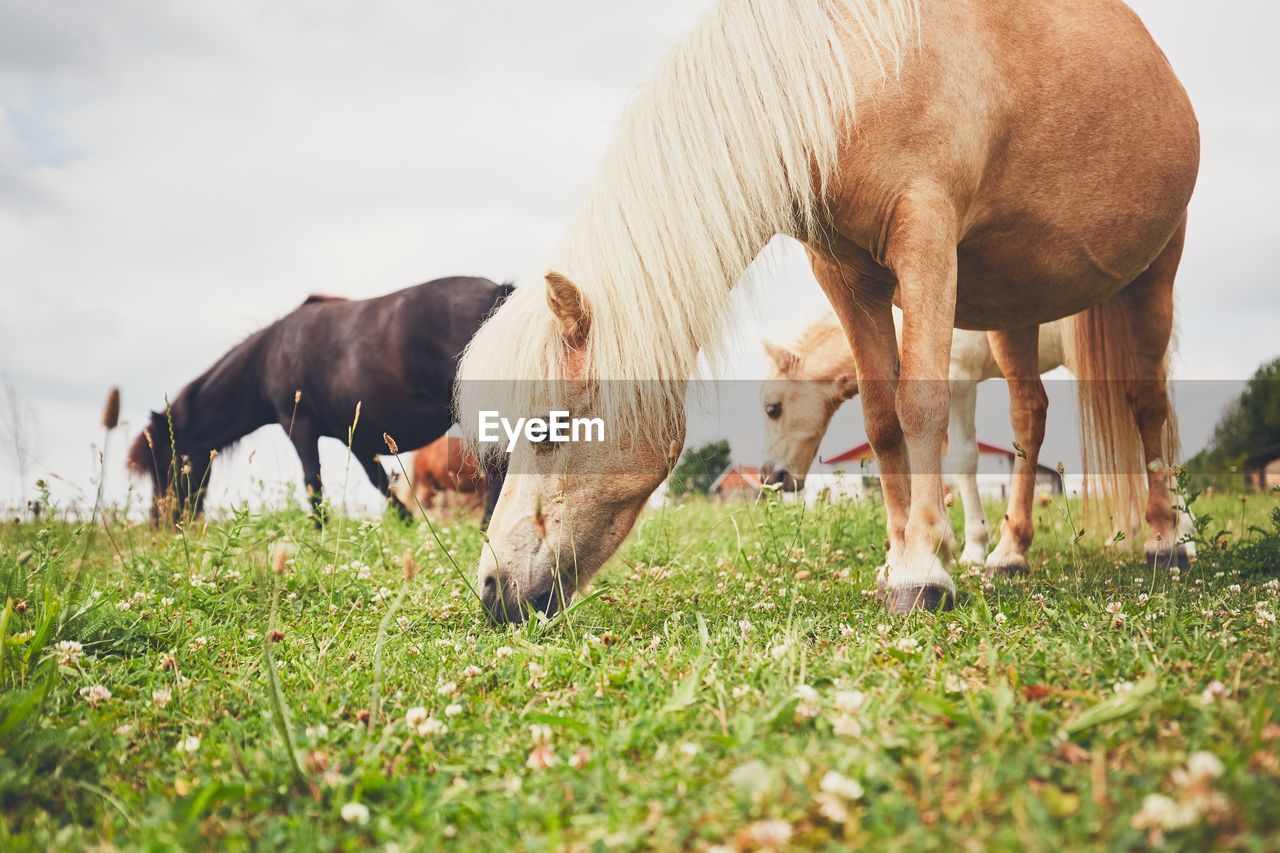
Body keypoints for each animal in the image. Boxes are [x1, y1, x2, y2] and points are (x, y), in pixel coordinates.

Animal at [128, 275, 509, 522]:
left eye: (166, 463)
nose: (160, 521)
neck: (266, 358)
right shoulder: (355, 437)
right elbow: (380, 482)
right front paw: (405, 522)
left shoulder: (299, 427)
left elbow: (313, 483)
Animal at [757, 312, 1187, 571]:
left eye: (772, 408)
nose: (769, 478)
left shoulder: (959, 378)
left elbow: (963, 460)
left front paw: (974, 547)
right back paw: (1129, 539)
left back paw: (1179, 538)